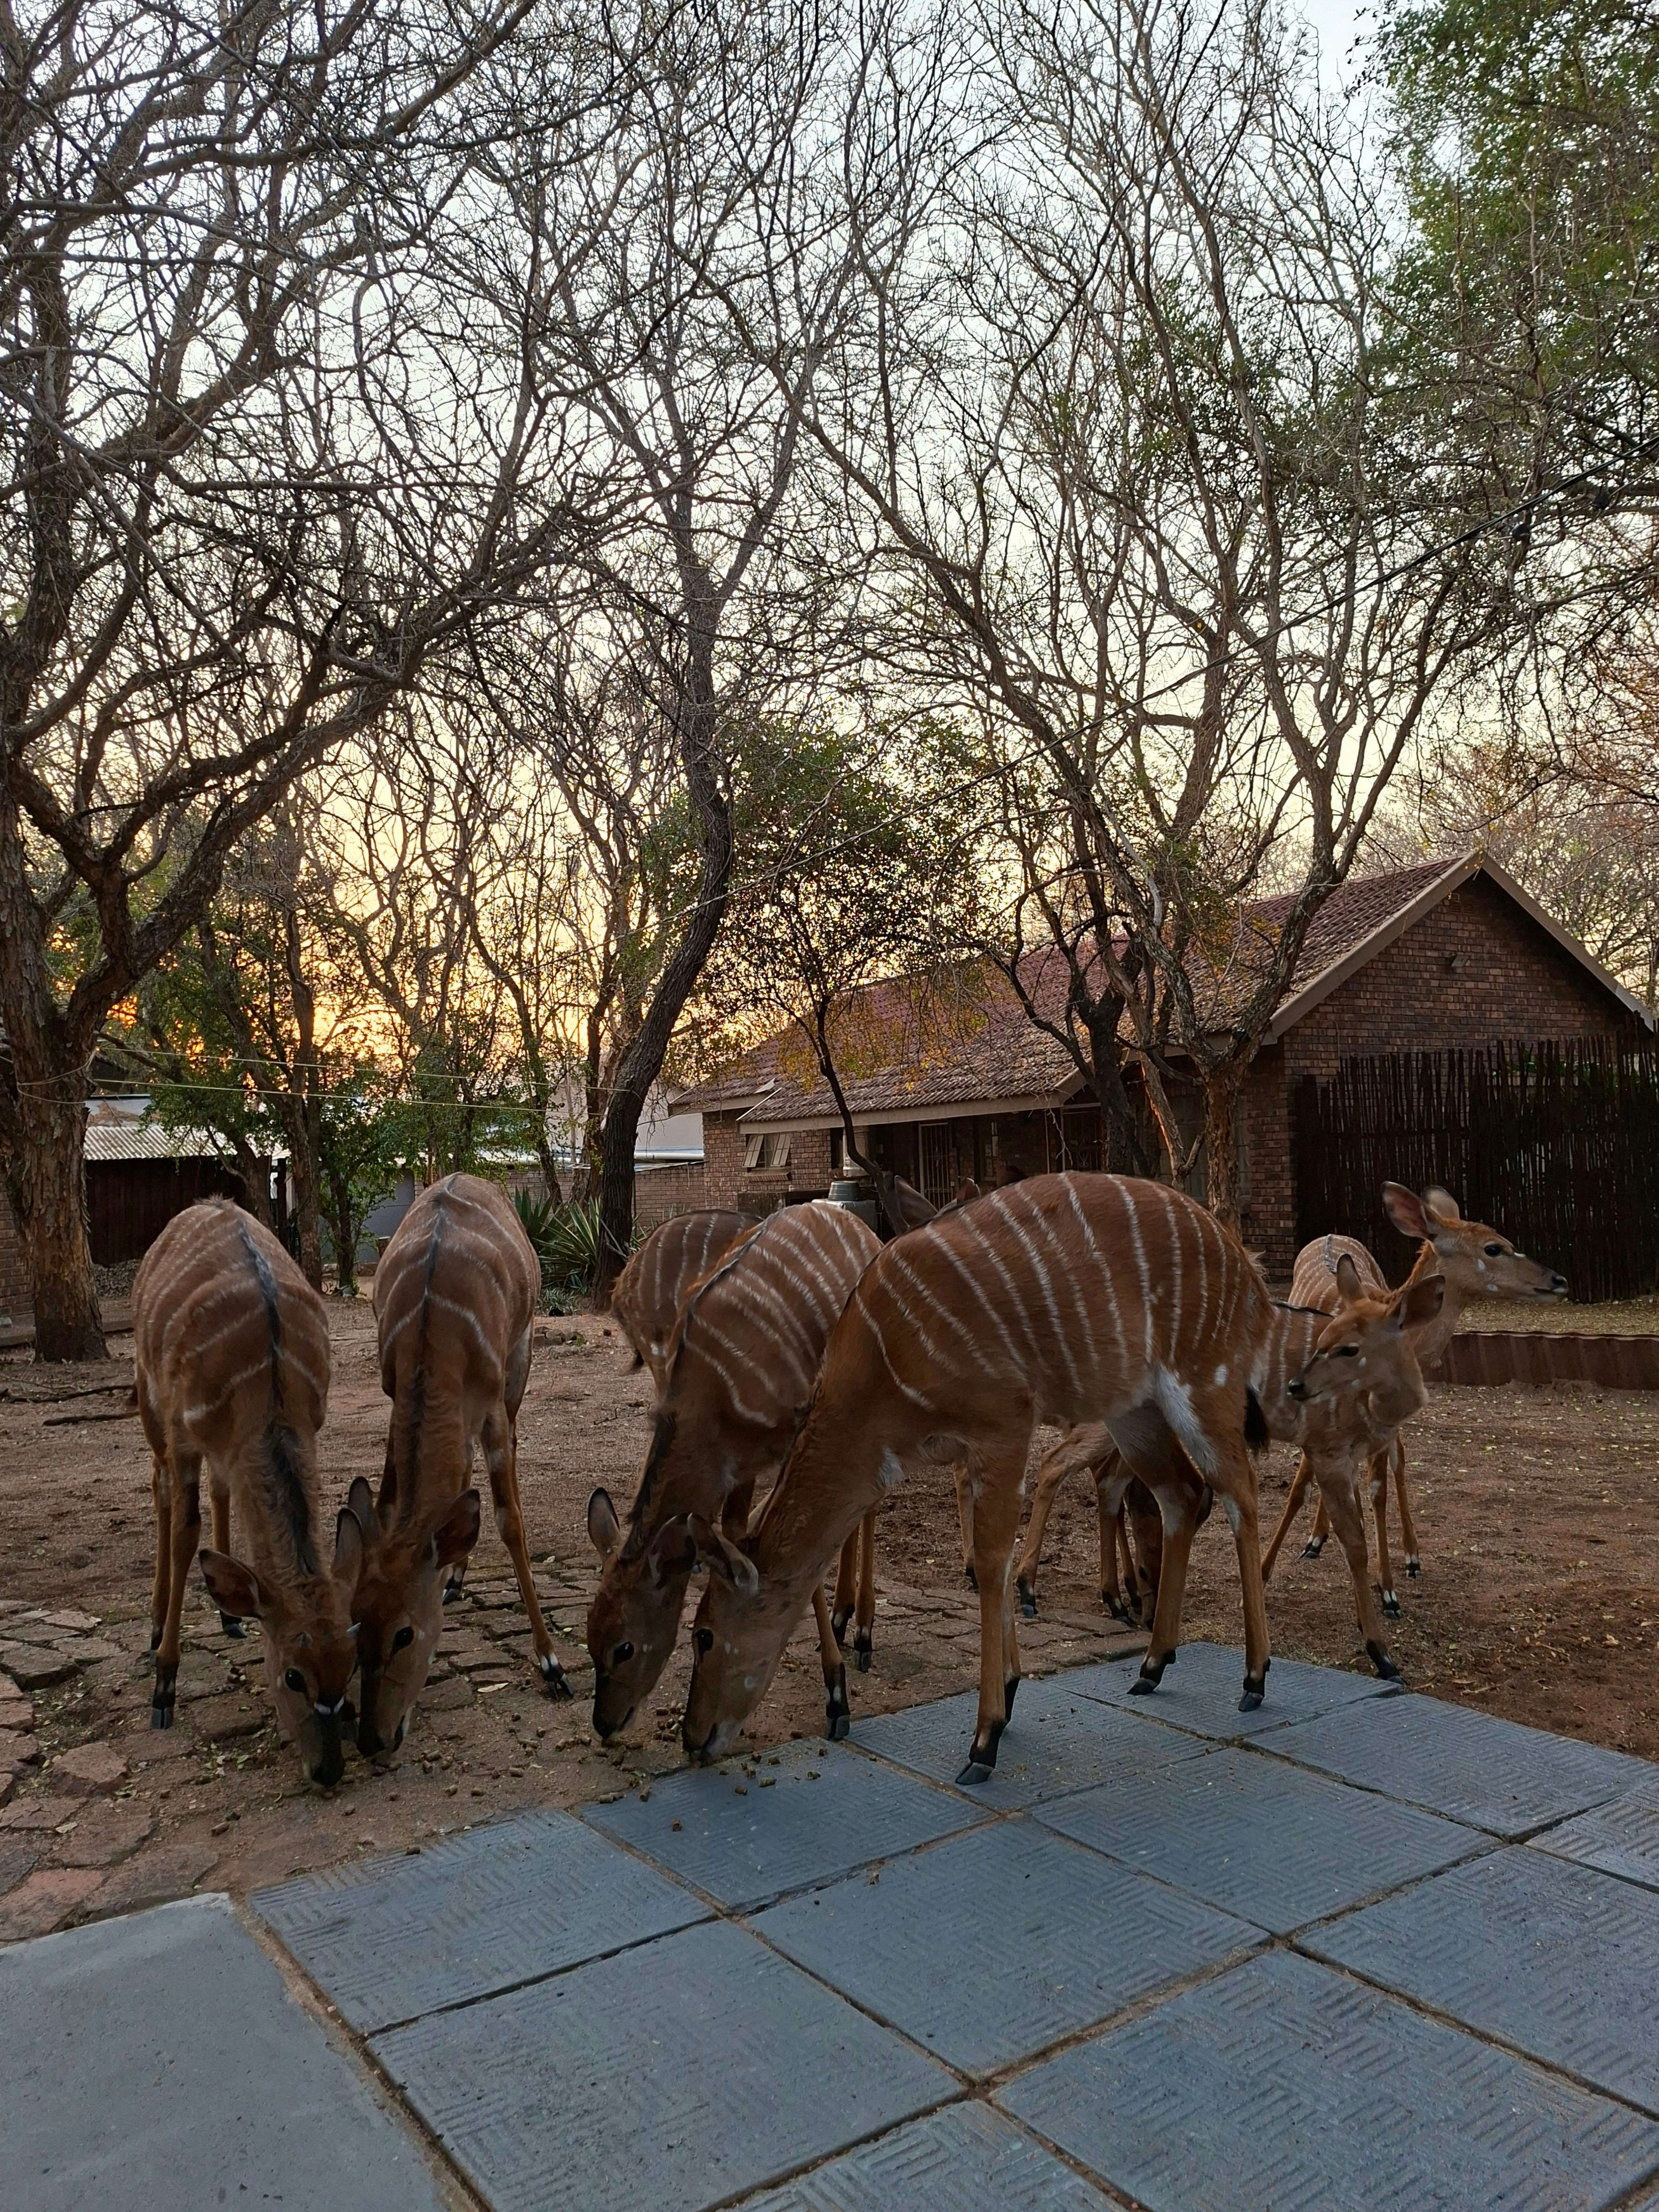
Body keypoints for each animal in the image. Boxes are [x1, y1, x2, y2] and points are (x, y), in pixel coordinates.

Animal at [134, 1202, 360, 1787]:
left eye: (351, 1664)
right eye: (293, 1676)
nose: (328, 1768)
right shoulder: (184, 1429)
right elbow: (185, 1531)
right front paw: (165, 1688)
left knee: (219, 1492)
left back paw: (230, 1618)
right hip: (150, 1399)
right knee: (159, 1486)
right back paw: (154, 1629)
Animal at [348, 1174, 569, 1758]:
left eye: (405, 1633)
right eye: (354, 1623)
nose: (372, 1738)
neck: (435, 1327)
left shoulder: (490, 1401)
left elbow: (510, 1521)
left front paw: (552, 1663)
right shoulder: (396, 1397)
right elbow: (388, 1500)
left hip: (520, 1361)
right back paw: (456, 1574)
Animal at [681, 1173, 1279, 1784]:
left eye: (703, 1636)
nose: (692, 1737)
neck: (880, 1365)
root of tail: (1245, 1267)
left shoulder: (1004, 1422)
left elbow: (993, 1563)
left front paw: (984, 1739)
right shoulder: (970, 1446)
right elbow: (998, 1557)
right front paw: (1009, 1696)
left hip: (1205, 1385)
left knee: (1240, 1493)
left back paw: (1254, 1678)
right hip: (1135, 1411)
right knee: (1183, 1494)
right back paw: (1153, 1665)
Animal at [1269, 1183, 1567, 1610]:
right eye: (1494, 1248)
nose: (1557, 1279)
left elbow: (1378, 1485)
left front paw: (1388, 1587)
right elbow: (1310, 1481)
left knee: (1396, 1465)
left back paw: (1409, 1556)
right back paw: (1320, 1540)